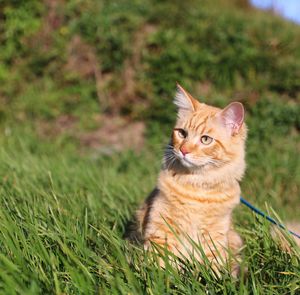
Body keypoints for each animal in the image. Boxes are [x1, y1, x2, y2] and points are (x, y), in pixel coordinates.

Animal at [126, 84, 246, 276]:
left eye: (206, 139)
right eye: (182, 133)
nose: (183, 150)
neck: (197, 186)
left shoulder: (215, 235)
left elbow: (214, 268)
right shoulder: (161, 227)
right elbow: (160, 265)